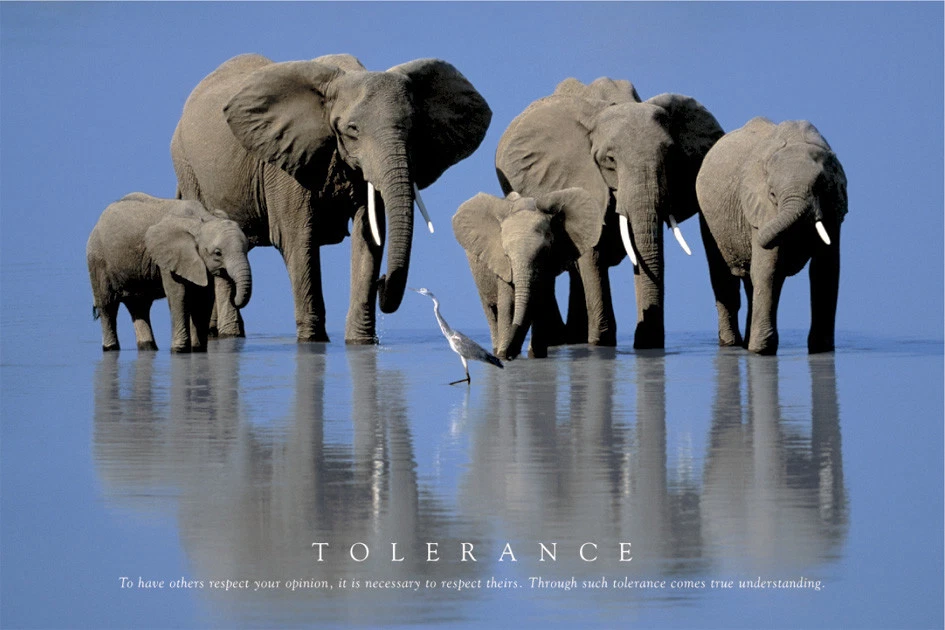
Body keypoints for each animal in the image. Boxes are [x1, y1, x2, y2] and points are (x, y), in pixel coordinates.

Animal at [86, 192, 252, 352]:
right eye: (218, 253)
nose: (234, 298)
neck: (201, 220)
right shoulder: (168, 257)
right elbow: (178, 294)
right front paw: (179, 350)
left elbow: (204, 297)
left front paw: (198, 349)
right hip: (97, 260)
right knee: (107, 305)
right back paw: (110, 348)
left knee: (139, 306)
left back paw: (148, 347)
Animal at [171, 53, 491, 344]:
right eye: (352, 130)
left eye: (414, 129)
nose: (383, 283)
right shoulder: (286, 162)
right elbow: (298, 240)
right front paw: (313, 342)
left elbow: (370, 237)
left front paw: (360, 342)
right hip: (187, 168)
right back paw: (230, 335)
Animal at [451, 188, 600, 359]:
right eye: (506, 255)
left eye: (544, 251)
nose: (508, 355)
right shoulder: (501, 265)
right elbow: (508, 305)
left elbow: (540, 302)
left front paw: (536, 356)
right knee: (491, 310)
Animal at [496, 77, 724, 349]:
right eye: (610, 160)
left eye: (670, 155)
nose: (646, 341)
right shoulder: (578, 176)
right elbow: (592, 253)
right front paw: (601, 344)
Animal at [696, 117, 847, 355]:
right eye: (773, 194)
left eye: (820, 188)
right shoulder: (761, 209)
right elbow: (769, 268)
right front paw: (761, 351)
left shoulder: (834, 209)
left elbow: (825, 270)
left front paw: (822, 350)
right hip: (708, 217)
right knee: (724, 277)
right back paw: (732, 345)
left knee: (750, 283)